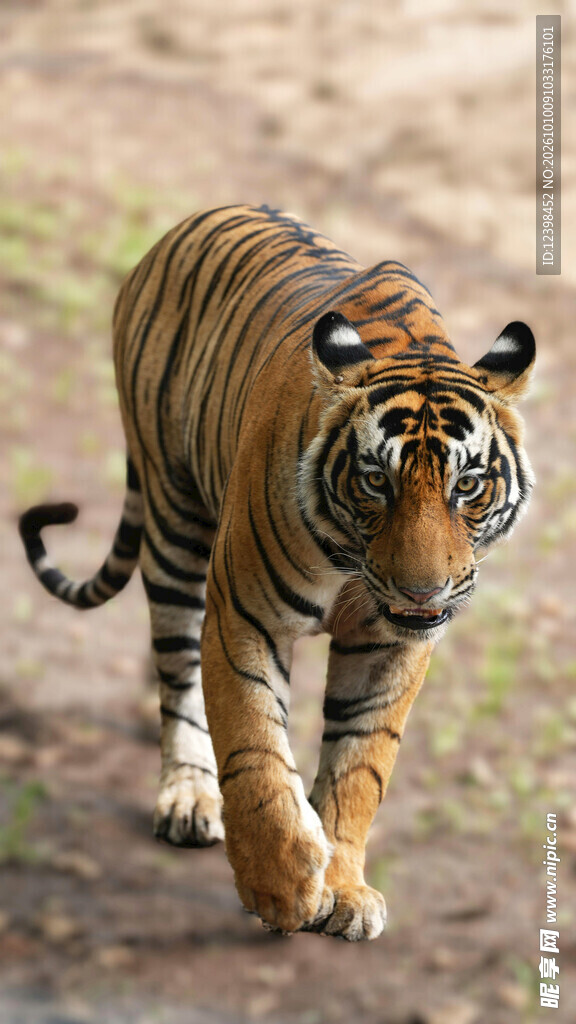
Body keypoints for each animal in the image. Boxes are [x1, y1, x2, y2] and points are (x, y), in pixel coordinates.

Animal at [19, 204, 535, 941]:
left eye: (466, 485)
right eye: (376, 481)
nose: (422, 590)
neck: (354, 567)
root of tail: (184, 225)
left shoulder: (391, 645)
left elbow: (360, 765)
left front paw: (343, 890)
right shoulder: (245, 614)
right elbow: (254, 747)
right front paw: (284, 889)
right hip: (174, 522)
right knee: (178, 671)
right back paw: (188, 795)